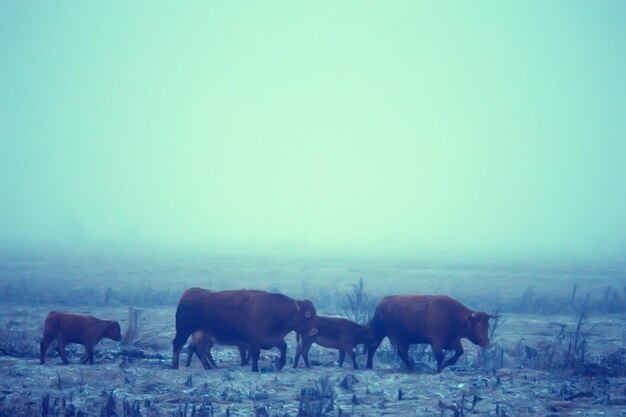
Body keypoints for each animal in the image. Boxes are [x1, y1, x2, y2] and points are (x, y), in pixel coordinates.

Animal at [172, 286, 314, 370]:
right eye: (307, 314)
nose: (314, 331)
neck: (274, 310)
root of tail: (188, 294)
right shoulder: (254, 340)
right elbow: (255, 353)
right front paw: (255, 368)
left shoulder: (274, 339)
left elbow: (283, 348)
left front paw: (280, 365)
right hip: (184, 331)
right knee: (179, 345)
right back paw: (175, 366)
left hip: (200, 334)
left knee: (198, 349)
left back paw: (209, 366)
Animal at [364, 294, 494, 372]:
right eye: (478, 326)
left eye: (488, 325)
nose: (486, 342)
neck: (451, 314)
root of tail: (382, 303)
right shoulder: (436, 340)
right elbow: (440, 356)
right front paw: (440, 369)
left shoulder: (455, 340)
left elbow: (459, 353)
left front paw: (446, 364)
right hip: (391, 334)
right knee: (385, 349)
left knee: (383, 348)